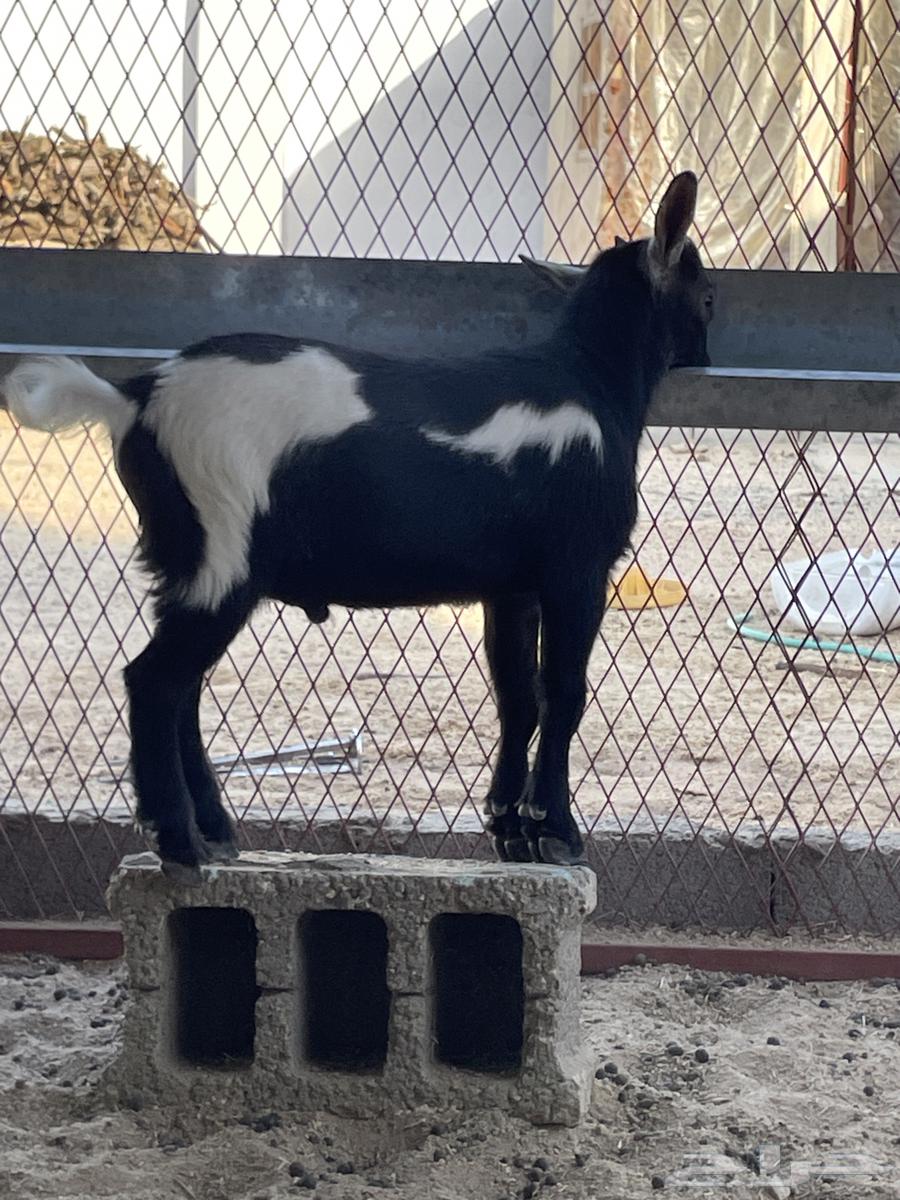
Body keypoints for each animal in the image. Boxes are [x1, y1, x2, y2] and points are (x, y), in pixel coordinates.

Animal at [3, 171, 714, 882]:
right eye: (707, 294)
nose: (708, 355)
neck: (590, 380)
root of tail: (136, 397)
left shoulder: (511, 586)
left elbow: (516, 696)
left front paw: (510, 829)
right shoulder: (577, 568)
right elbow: (563, 693)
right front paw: (557, 832)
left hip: (185, 557)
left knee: (184, 687)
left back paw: (215, 831)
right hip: (223, 544)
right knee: (154, 681)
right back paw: (179, 842)